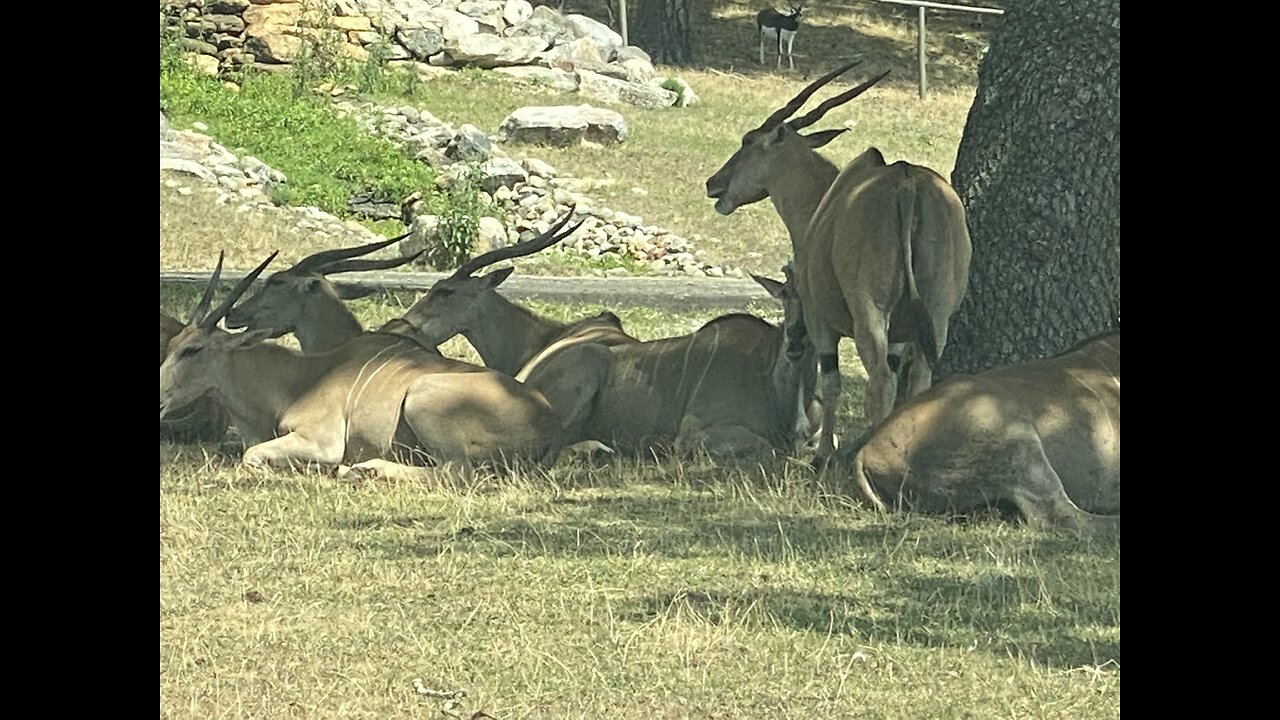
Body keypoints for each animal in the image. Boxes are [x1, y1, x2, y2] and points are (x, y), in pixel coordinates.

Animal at [711, 58, 967, 456]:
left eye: (748, 140)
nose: (713, 184)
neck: (825, 196)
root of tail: (906, 182)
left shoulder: (820, 321)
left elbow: (829, 382)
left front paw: (823, 452)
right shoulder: (902, 333)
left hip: (869, 312)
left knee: (880, 381)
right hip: (938, 313)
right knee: (919, 377)